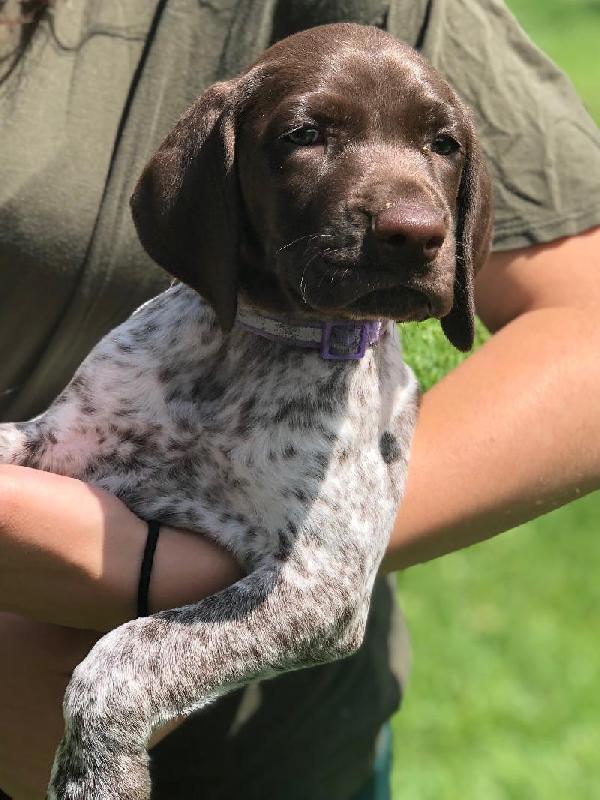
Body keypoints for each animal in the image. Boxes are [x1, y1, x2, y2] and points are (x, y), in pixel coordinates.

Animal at [0, 21, 488, 796]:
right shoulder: (61, 442)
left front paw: (97, 772)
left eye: (444, 144)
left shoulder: (318, 587)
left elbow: (128, 652)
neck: (255, 350)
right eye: (304, 135)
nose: (414, 232)